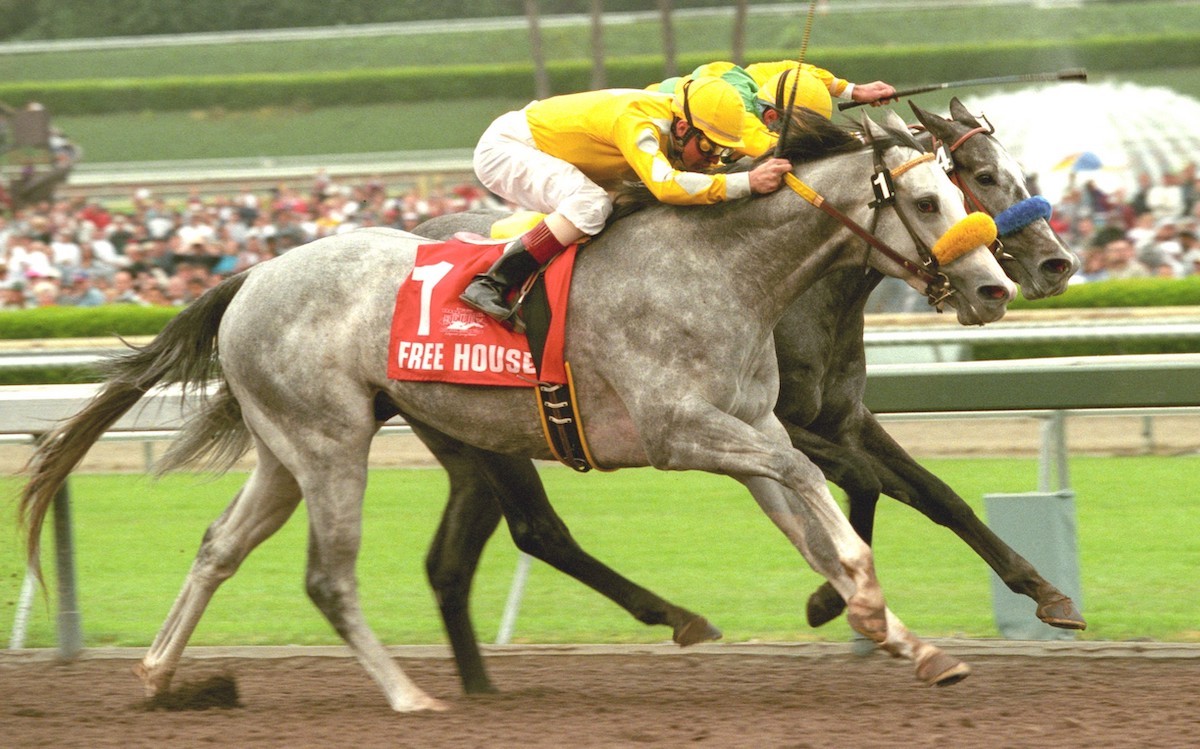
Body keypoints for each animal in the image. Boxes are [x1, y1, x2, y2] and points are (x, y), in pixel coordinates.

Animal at [18, 109, 1012, 705]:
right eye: (930, 198)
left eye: (971, 186)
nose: (996, 287)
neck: (721, 272)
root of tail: (252, 274)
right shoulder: (682, 430)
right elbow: (813, 482)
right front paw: (866, 597)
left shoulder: (748, 426)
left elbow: (805, 515)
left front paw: (905, 637)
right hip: (334, 441)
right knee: (331, 575)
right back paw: (409, 694)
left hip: (288, 446)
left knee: (220, 546)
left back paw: (161, 675)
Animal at [408, 99, 1084, 696]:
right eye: (980, 177)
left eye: (1015, 170)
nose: (1057, 265)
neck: (806, 293)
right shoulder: (776, 421)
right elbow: (864, 480)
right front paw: (827, 600)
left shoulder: (844, 416)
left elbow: (939, 496)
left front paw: (1049, 595)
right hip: (497, 434)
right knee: (536, 529)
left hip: (474, 437)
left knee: (450, 560)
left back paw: (478, 682)